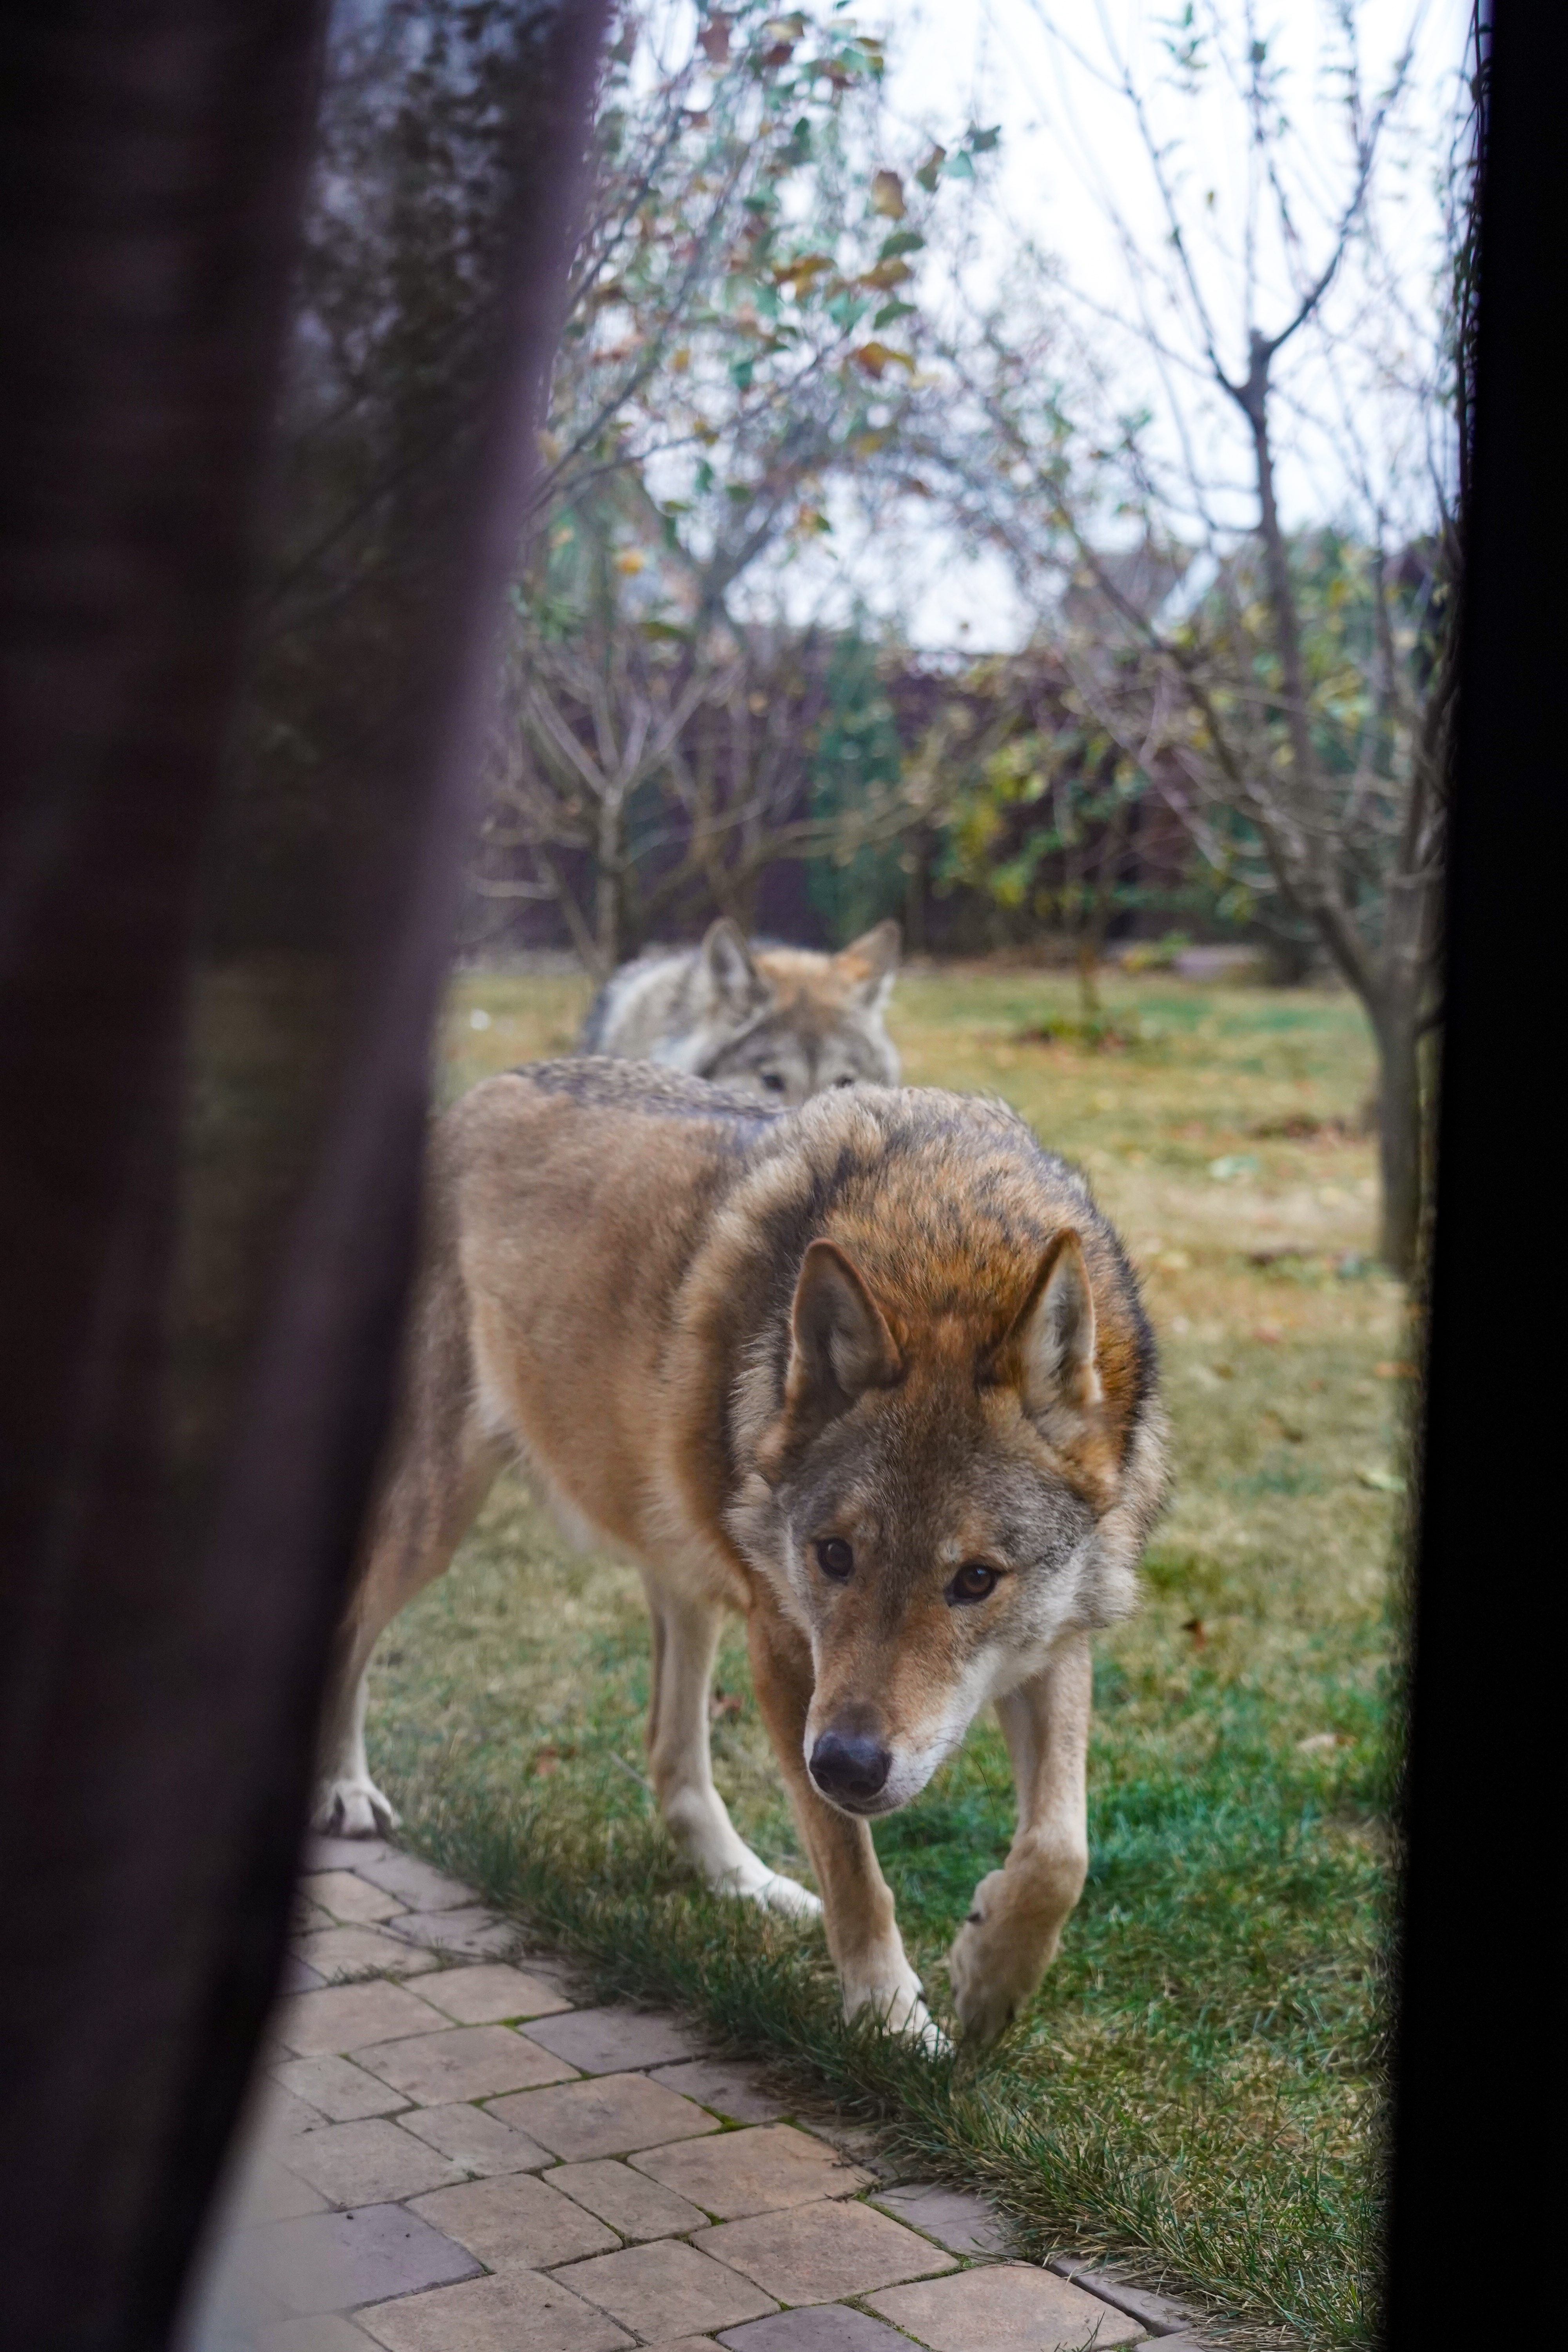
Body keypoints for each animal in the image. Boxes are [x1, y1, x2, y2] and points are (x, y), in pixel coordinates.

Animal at [315, 1068, 1166, 2042]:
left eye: (975, 1580)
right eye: (833, 1556)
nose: (846, 1765)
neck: (942, 1245)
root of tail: (471, 1097)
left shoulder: (1053, 1643)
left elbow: (1061, 1849)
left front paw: (989, 1980)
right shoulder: (784, 1653)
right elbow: (855, 1873)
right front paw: (890, 2020)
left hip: (680, 1572)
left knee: (669, 1755)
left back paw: (746, 1885)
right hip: (437, 1516)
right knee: (349, 1628)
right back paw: (342, 1791)